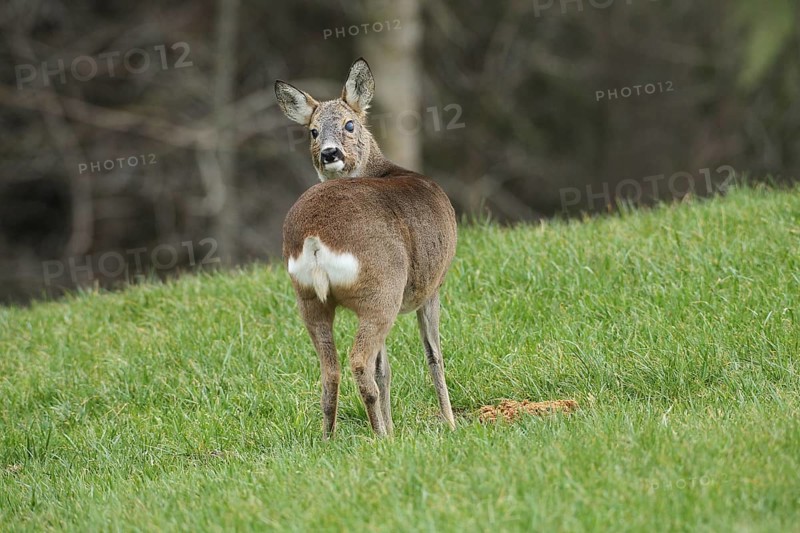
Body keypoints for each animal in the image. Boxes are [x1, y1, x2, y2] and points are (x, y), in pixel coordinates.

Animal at [275, 58, 458, 438]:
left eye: (349, 123)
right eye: (313, 131)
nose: (330, 153)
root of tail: (314, 237)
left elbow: (384, 368)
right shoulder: (432, 285)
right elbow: (433, 354)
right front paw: (450, 423)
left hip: (308, 299)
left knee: (330, 371)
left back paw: (329, 439)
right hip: (382, 290)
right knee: (358, 362)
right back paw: (380, 436)